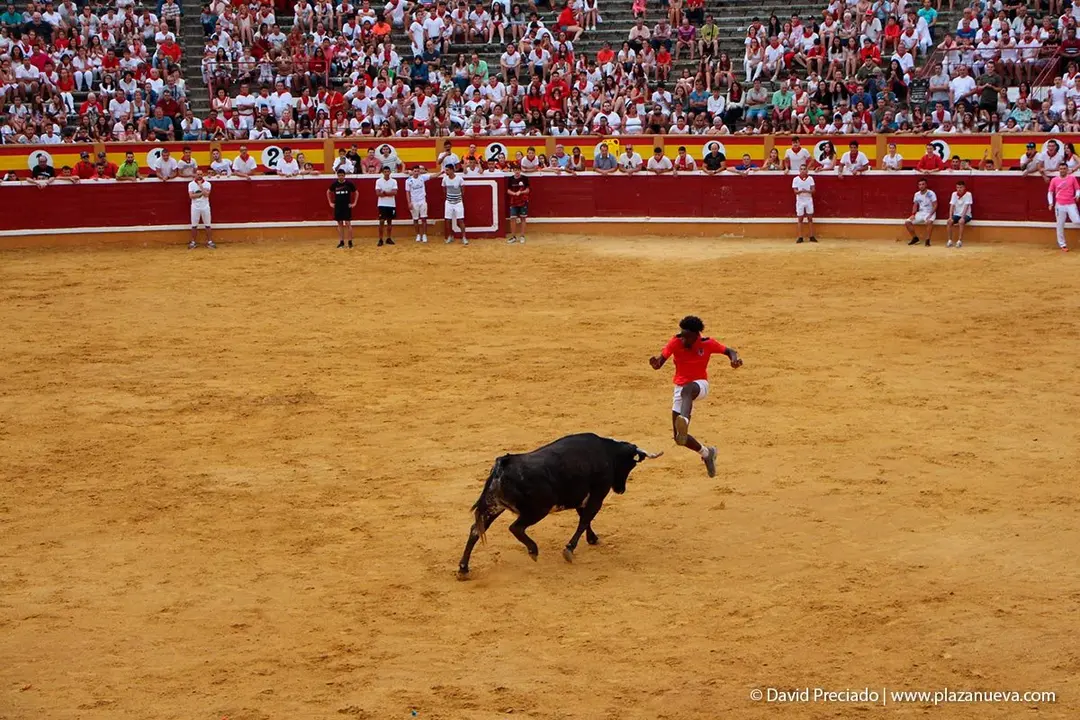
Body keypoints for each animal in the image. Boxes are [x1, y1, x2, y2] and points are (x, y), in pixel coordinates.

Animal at [457, 433, 663, 577]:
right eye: (630, 465)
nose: (621, 490)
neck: (606, 453)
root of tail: (503, 465)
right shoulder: (597, 495)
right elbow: (585, 519)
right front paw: (569, 549)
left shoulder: (582, 497)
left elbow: (584, 519)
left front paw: (592, 538)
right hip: (538, 509)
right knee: (515, 527)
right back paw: (533, 550)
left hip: (494, 506)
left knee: (475, 530)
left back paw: (463, 569)